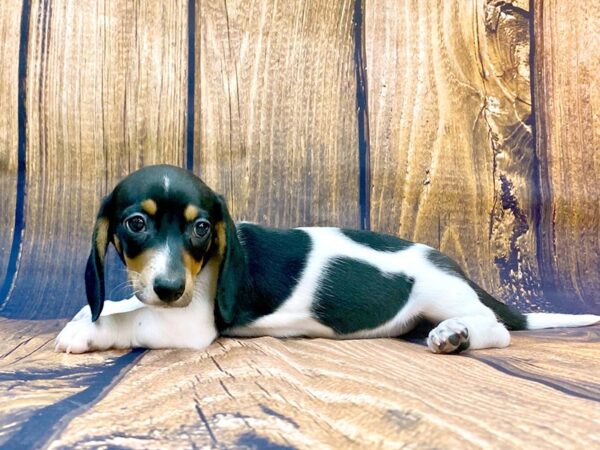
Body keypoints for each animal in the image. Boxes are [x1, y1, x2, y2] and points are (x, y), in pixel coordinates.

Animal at [55, 165, 596, 356]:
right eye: (136, 223)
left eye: (201, 228)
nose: (170, 288)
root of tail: (454, 268)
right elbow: (121, 305)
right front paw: (89, 313)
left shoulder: (185, 324)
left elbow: (132, 319)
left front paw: (84, 332)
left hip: (444, 297)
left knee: (497, 329)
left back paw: (455, 335)